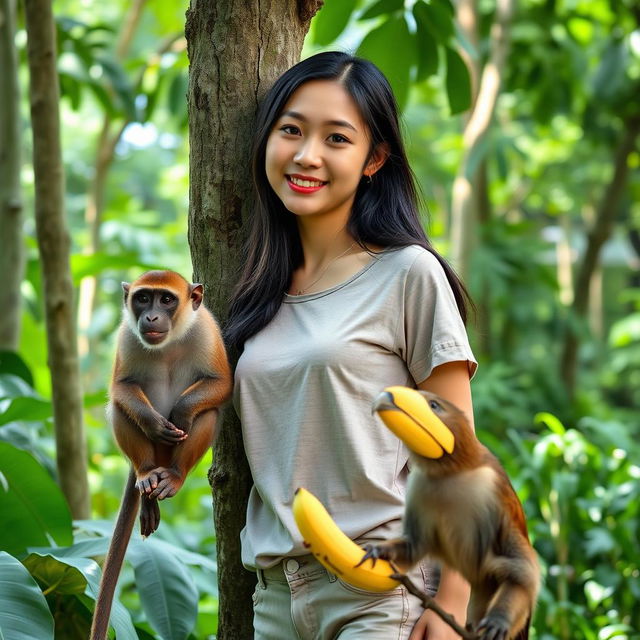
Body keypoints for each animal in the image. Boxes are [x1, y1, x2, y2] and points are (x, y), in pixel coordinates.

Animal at [89, 270, 231, 640]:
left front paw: (180, 412)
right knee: (119, 408)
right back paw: (147, 477)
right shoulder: (127, 335)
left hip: (176, 453)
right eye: (143, 298)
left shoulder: (206, 329)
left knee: (208, 413)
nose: (151, 317)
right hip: (151, 452)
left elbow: (221, 383)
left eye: (166, 299)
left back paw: (174, 476)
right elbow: (121, 386)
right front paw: (154, 422)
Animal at [362, 390, 536, 640]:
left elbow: (521, 573)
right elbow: (413, 547)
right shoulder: (418, 489)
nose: (385, 397)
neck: (449, 472)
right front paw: (380, 549)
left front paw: (498, 620)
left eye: (434, 405)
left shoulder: (495, 495)